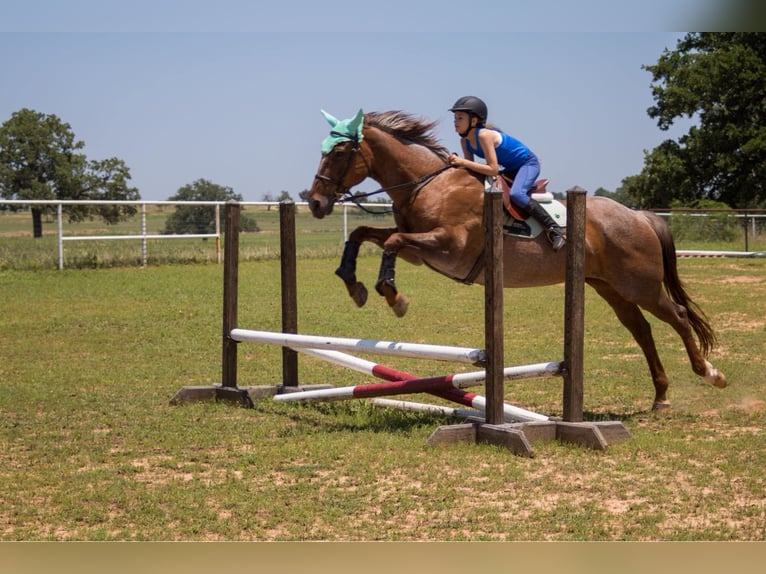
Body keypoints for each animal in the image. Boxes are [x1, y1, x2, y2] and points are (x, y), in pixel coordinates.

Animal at [306, 110, 728, 412]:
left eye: (339, 152)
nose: (315, 203)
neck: (427, 183)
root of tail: (639, 215)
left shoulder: (448, 246)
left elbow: (390, 241)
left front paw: (394, 297)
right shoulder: (417, 252)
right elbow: (364, 234)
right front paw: (354, 284)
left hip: (640, 285)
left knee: (678, 316)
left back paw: (710, 374)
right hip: (609, 287)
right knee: (641, 329)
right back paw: (661, 396)